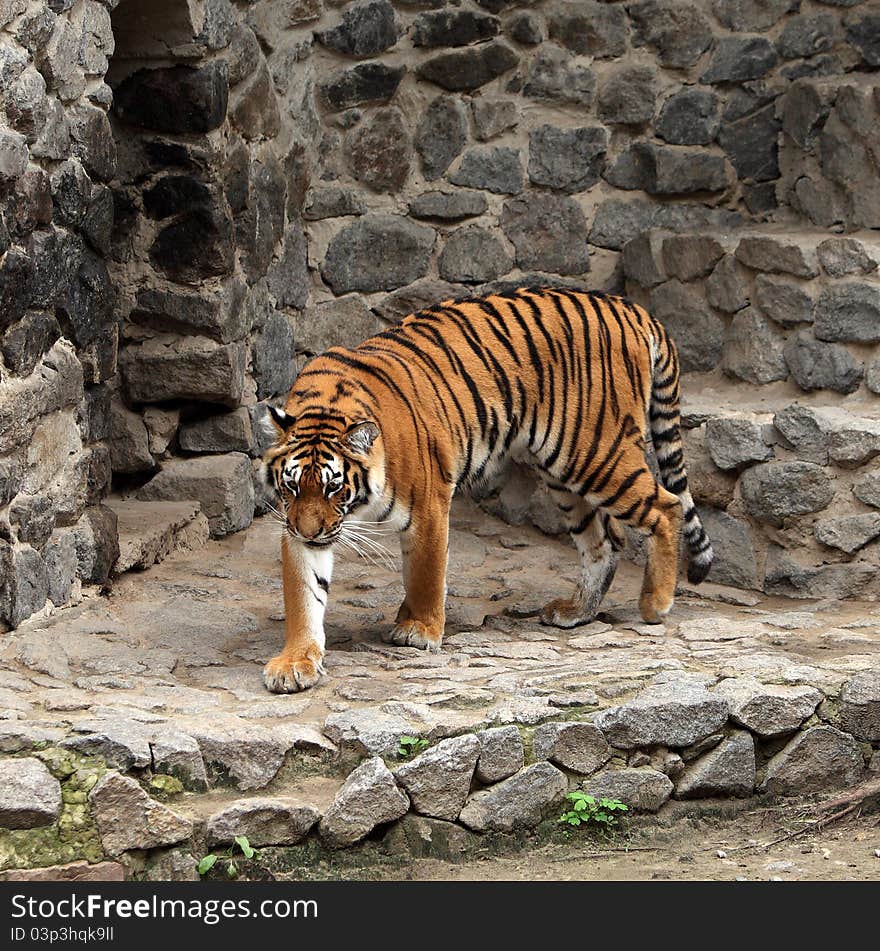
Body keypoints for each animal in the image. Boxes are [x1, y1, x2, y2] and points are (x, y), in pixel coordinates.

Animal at [258, 286, 712, 696]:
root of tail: (632, 310)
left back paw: (655, 604)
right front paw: (295, 663)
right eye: (292, 486)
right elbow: (304, 595)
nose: (310, 532)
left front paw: (420, 630)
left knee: (667, 507)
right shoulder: (294, 525)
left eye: (334, 488)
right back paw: (576, 612)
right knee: (604, 542)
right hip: (564, 474)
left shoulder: (429, 506)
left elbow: (426, 575)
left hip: (595, 454)